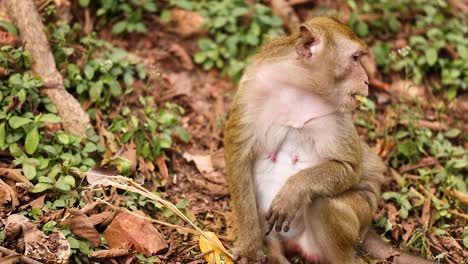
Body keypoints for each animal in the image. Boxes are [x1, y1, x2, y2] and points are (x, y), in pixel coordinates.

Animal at [225, 17, 434, 264]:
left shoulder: (337, 115)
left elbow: (348, 168)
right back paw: (276, 252)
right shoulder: (252, 90)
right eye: (355, 58)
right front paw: (250, 249)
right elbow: (239, 158)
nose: (366, 81)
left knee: (323, 203)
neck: (299, 88)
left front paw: (293, 191)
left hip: (360, 216)